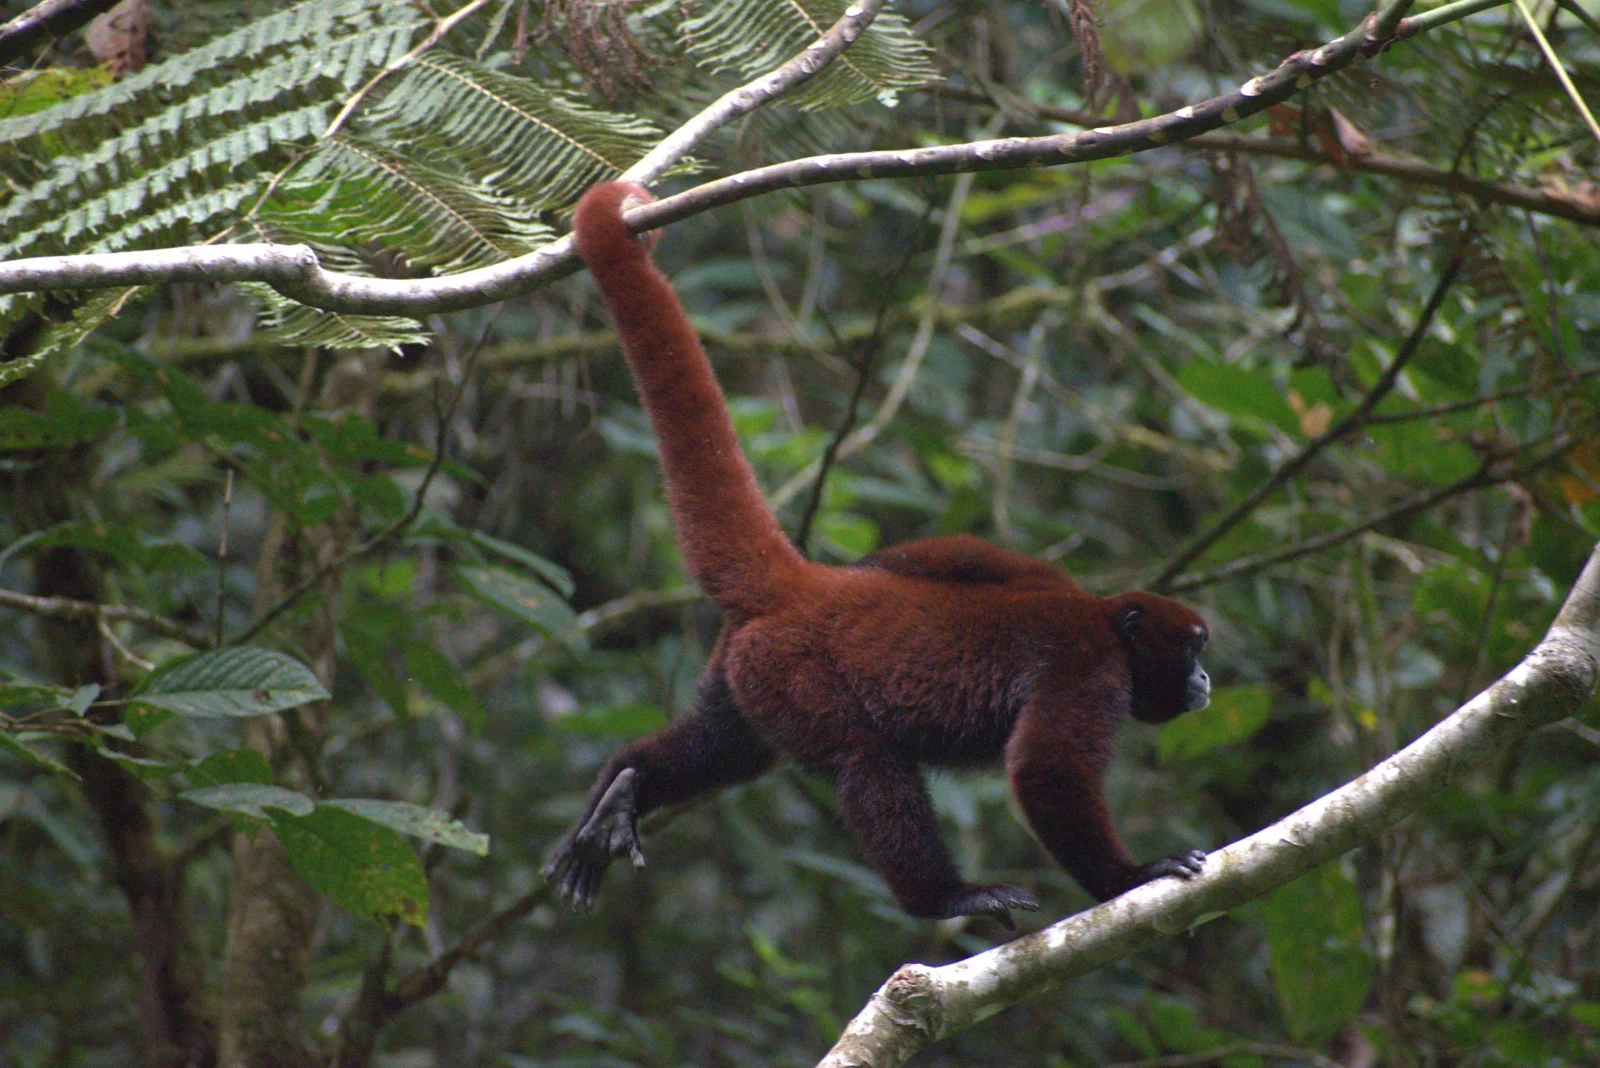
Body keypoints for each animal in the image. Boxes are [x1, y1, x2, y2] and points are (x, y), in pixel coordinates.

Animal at [543, 182, 1211, 928]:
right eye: (1192, 646)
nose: (1205, 678)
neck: (1103, 618)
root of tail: (802, 586)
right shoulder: (1089, 666)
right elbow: (1046, 770)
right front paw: (1133, 874)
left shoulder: (1033, 571)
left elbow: (948, 552)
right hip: (795, 673)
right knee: (860, 757)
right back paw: (943, 896)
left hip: (745, 669)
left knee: (721, 748)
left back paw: (620, 791)